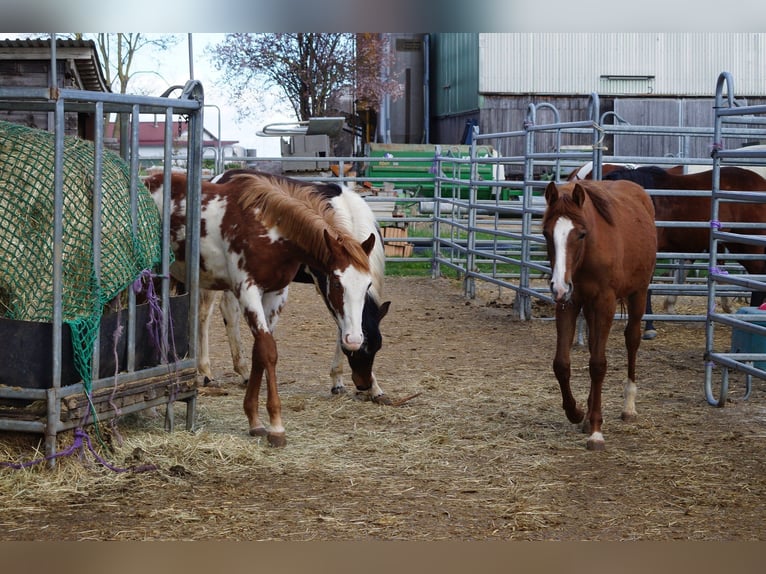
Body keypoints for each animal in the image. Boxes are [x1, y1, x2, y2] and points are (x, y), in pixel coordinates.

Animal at [200, 169, 390, 404]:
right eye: (356, 352)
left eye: (377, 347)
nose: (363, 384)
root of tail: (220, 177)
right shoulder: (326, 284)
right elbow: (341, 323)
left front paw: (352, 384)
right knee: (205, 315)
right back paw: (207, 373)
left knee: (229, 311)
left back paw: (242, 372)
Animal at [544, 180, 656, 450]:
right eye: (546, 234)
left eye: (581, 234)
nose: (558, 286)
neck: (587, 255)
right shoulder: (569, 302)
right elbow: (561, 363)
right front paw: (576, 412)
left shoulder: (605, 302)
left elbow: (597, 364)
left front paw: (596, 430)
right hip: (589, 307)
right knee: (595, 343)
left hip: (638, 293)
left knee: (632, 340)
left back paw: (628, 407)